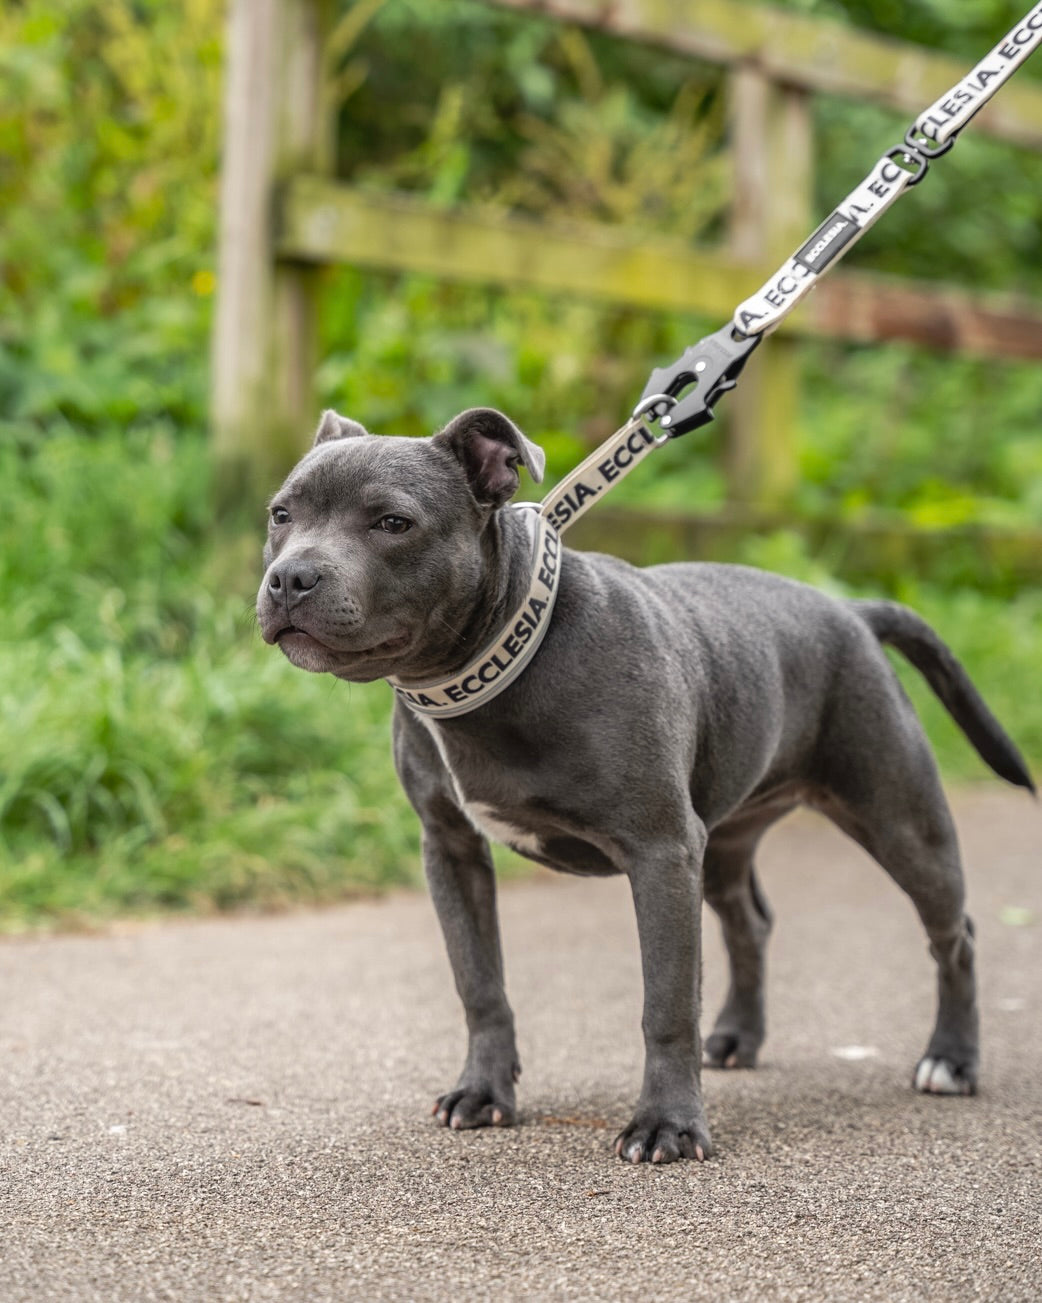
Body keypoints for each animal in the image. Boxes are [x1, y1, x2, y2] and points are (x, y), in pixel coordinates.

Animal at [256, 403, 1031, 1162]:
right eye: (281, 514)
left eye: (393, 522)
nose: (290, 577)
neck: (499, 660)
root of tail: (853, 612)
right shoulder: (451, 849)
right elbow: (479, 982)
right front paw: (482, 1092)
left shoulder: (660, 850)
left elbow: (666, 1001)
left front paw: (668, 1125)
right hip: (725, 838)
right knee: (750, 923)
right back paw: (738, 1038)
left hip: (900, 819)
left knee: (954, 934)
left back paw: (952, 1060)